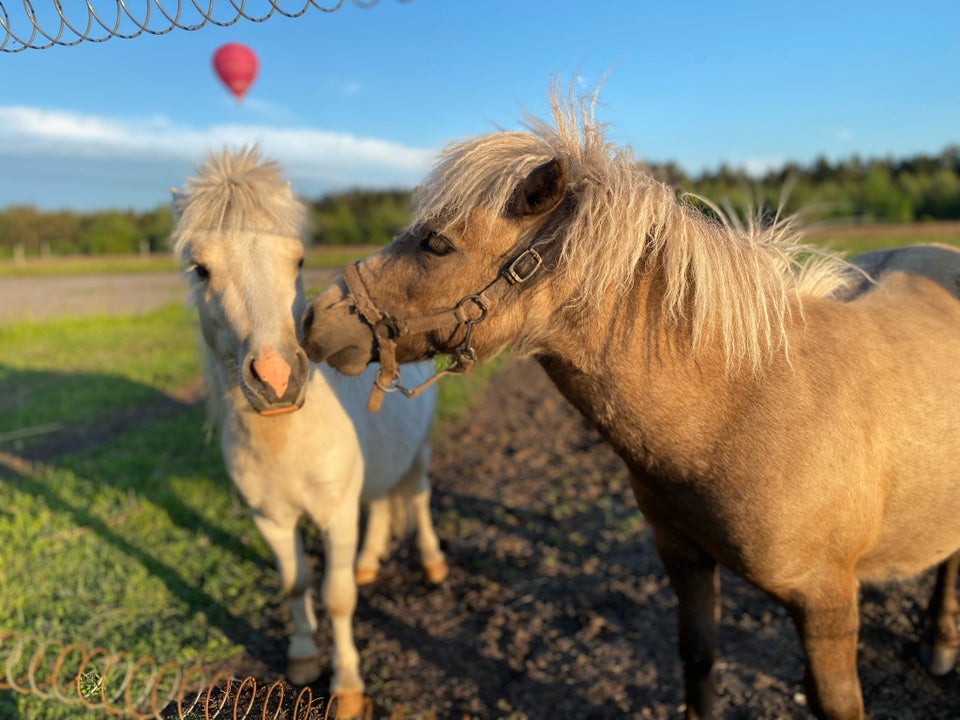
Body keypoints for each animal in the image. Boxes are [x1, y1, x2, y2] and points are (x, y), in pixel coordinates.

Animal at [171, 146, 448, 716]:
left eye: (298, 260)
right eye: (201, 269)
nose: (277, 379)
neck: (287, 443)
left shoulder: (334, 513)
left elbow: (338, 597)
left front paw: (346, 687)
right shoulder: (270, 519)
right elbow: (296, 584)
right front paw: (302, 659)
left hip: (420, 451)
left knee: (418, 496)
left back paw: (433, 564)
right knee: (382, 502)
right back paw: (368, 563)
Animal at [300, 86, 960, 720]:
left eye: (437, 244)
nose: (313, 318)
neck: (742, 403)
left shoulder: (827, 602)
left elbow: (837, 702)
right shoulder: (685, 560)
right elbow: (699, 662)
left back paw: (941, 642)